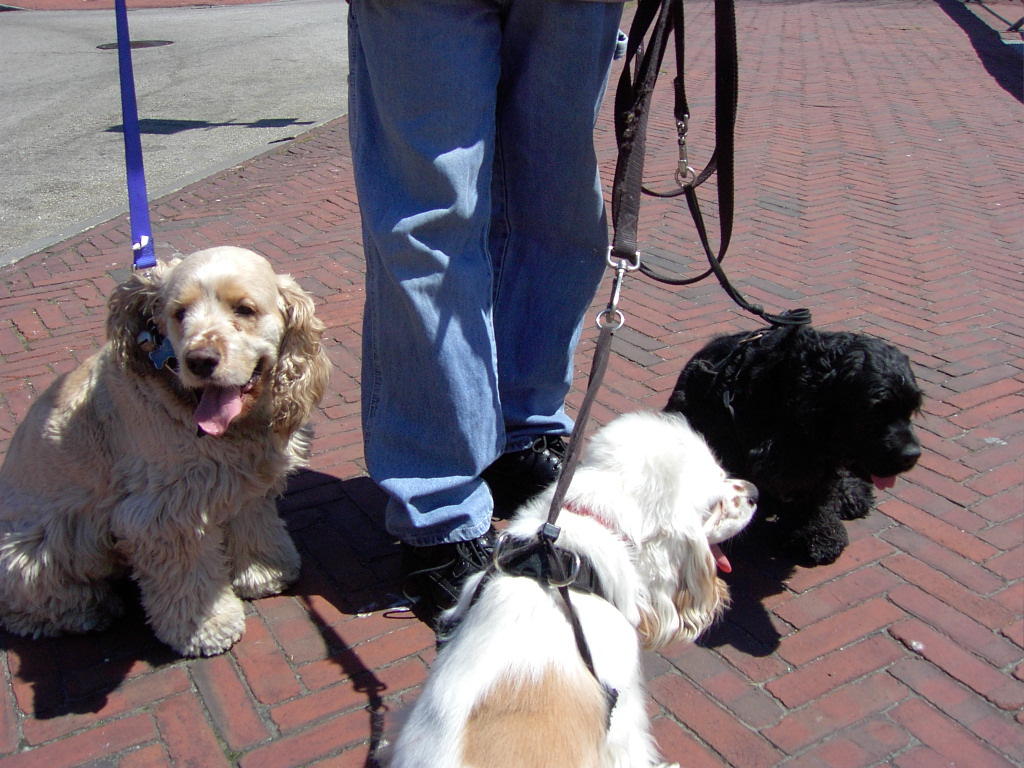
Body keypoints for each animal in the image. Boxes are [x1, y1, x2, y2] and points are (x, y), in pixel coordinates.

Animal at [0, 246, 327, 655]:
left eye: (244, 309)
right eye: (179, 313)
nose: (200, 361)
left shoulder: (245, 481)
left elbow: (253, 524)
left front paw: (264, 571)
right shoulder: (165, 511)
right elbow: (189, 577)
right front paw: (206, 628)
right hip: (34, 545)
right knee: (26, 605)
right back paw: (86, 611)